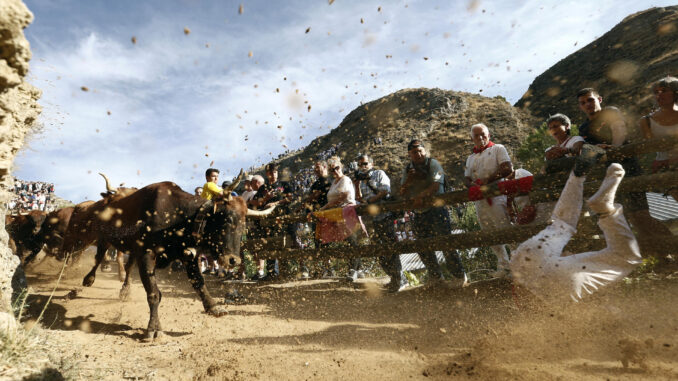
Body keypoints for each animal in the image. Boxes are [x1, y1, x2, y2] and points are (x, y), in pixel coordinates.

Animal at [87, 171, 274, 340]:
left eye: (244, 225)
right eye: (227, 219)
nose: (233, 260)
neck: (176, 216)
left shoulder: (187, 256)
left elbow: (198, 281)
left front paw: (213, 307)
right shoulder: (147, 255)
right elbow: (153, 294)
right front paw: (153, 328)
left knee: (127, 265)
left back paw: (125, 290)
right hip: (104, 237)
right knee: (99, 257)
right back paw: (90, 278)